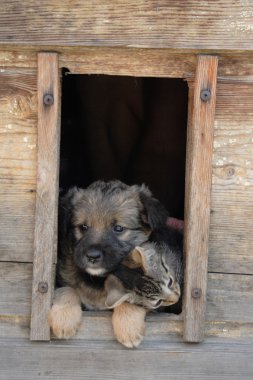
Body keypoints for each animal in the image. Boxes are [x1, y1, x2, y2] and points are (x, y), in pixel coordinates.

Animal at [48, 180, 169, 346]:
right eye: (83, 227)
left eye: (118, 228)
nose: (92, 256)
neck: (99, 280)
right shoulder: (63, 275)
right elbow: (67, 289)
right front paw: (64, 317)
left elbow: (132, 297)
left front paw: (128, 327)